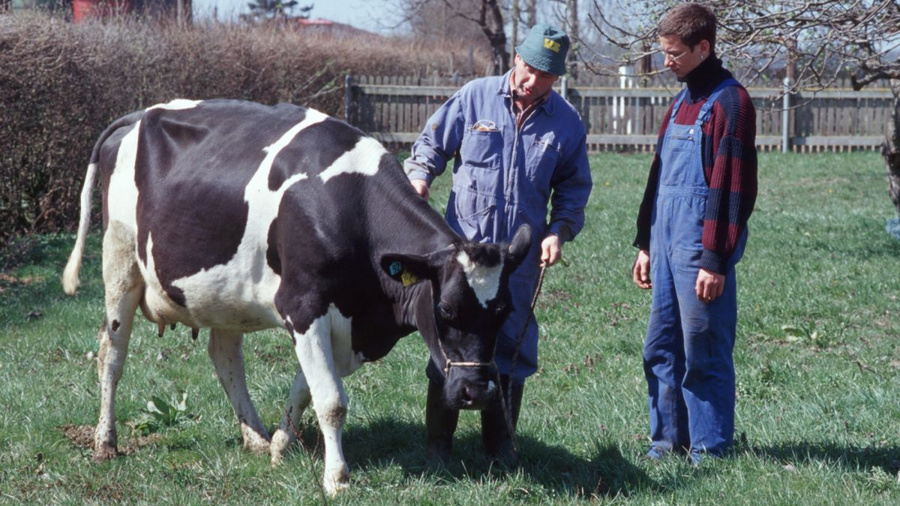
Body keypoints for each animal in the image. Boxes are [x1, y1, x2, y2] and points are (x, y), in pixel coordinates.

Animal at [62, 99, 531, 496]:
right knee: (112, 353)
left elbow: (307, 389)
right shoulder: (303, 304)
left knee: (225, 358)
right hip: (120, 261)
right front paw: (337, 478)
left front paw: (280, 444)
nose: (477, 392)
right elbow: (332, 401)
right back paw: (105, 442)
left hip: (223, 293)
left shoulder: (339, 323)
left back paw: (254, 436)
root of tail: (139, 114)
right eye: (446, 308)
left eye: (504, 312)